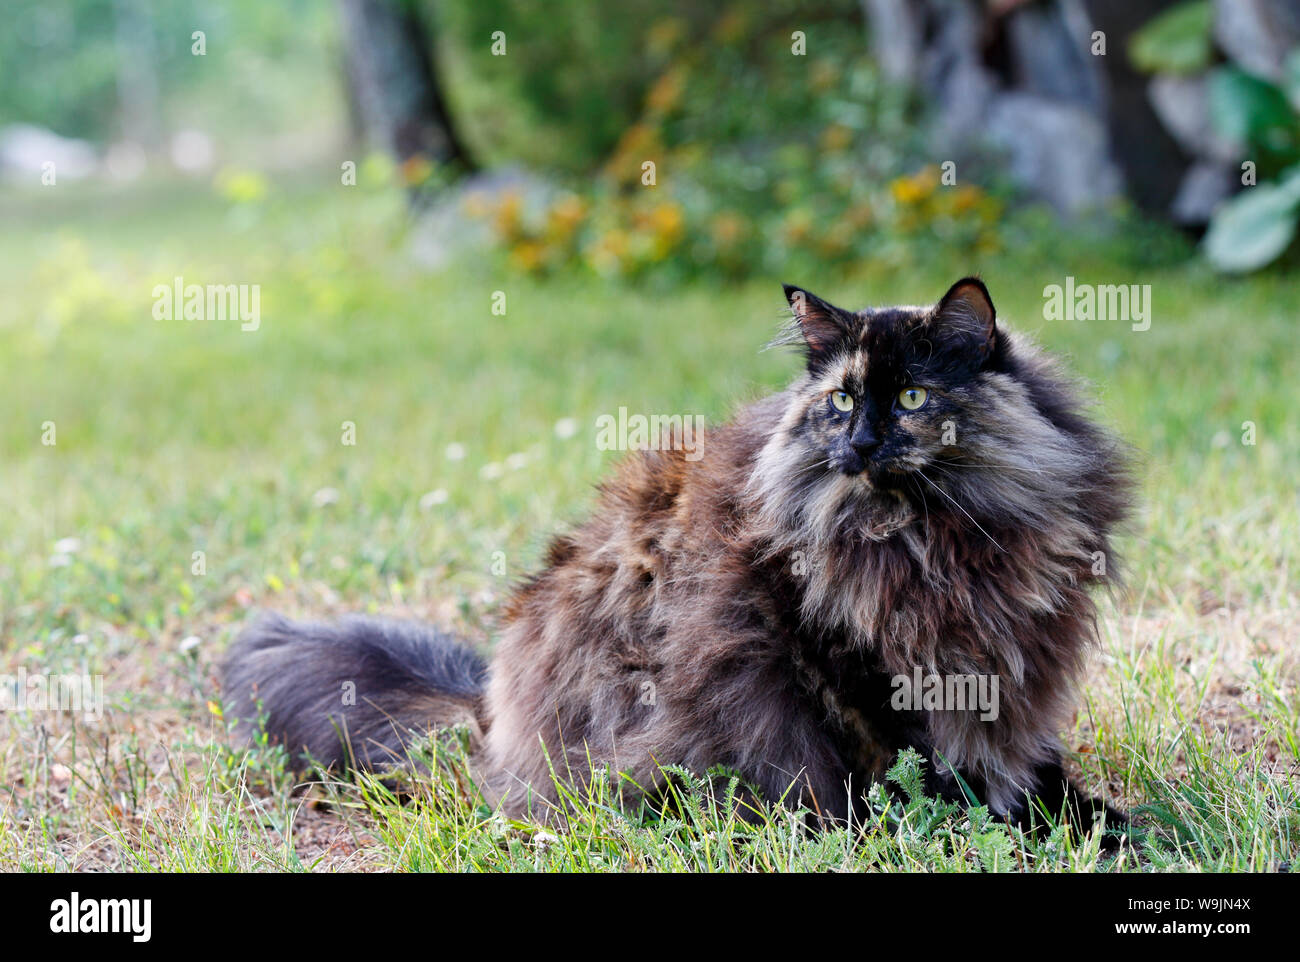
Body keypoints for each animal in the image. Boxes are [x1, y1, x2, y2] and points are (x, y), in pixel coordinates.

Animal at [226, 275, 1138, 842]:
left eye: (913, 396)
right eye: (841, 399)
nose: (860, 443)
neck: (928, 536)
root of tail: (490, 707)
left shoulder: (1003, 660)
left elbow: (1027, 758)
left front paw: (1090, 819)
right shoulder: (851, 665)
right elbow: (926, 768)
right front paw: (995, 828)